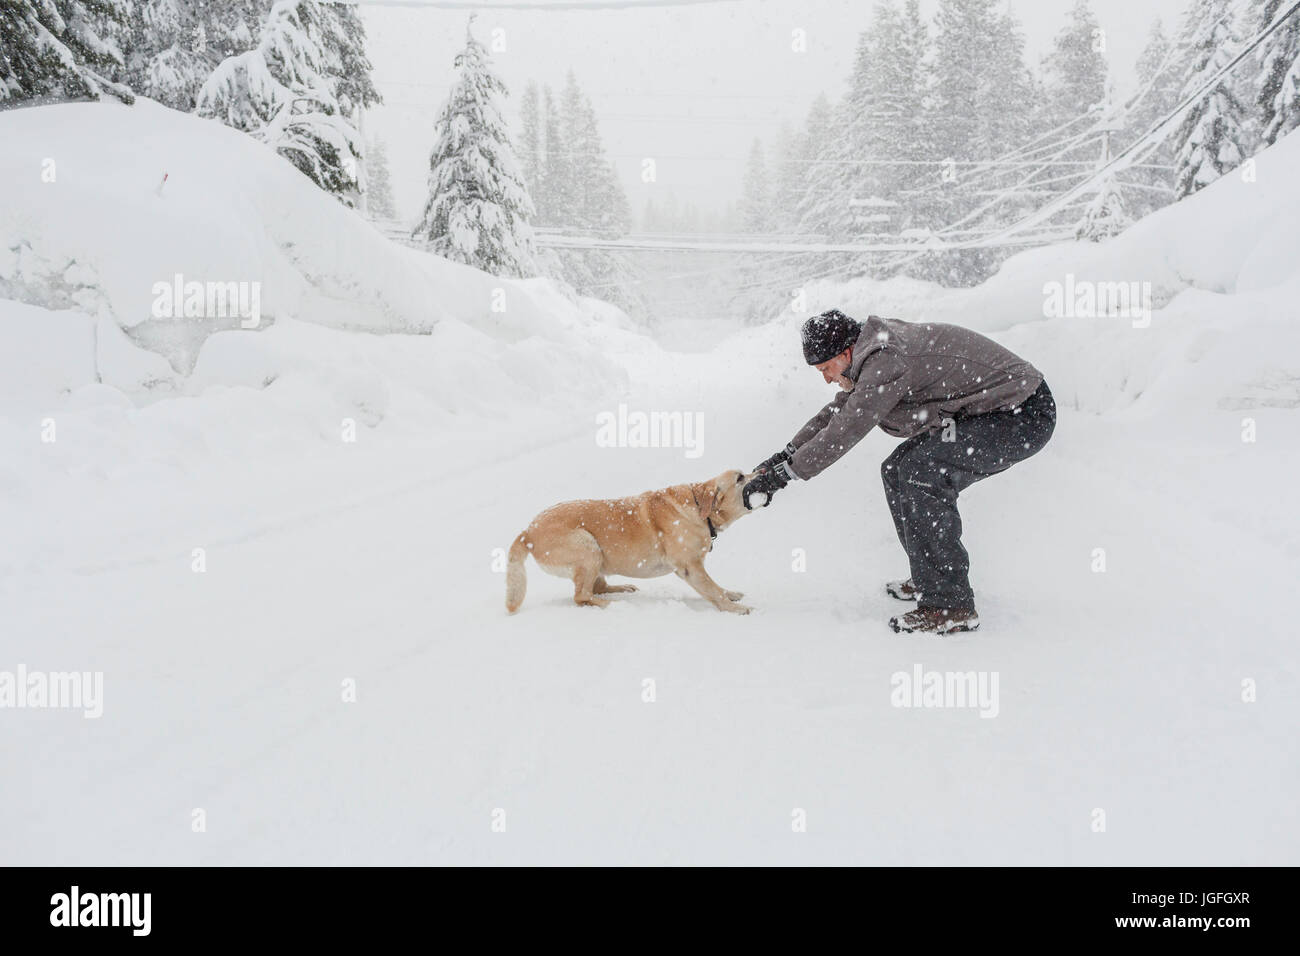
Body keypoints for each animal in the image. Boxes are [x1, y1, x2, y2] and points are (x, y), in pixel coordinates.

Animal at [504, 468, 759, 613]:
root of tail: (528, 531)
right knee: (581, 596)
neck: (698, 507)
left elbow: (717, 587)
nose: (763, 469)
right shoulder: (690, 567)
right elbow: (712, 590)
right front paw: (735, 609)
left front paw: (731, 594)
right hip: (588, 547)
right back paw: (612, 605)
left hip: (596, 557)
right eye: (740, 477)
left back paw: (622, 588)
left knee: (597, 587)